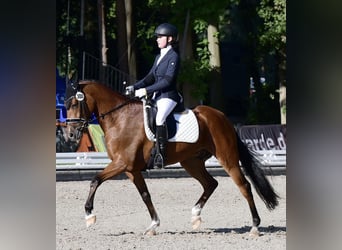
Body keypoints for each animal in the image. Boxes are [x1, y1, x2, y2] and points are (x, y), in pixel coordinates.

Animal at [63, 80, 278, 236]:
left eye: (74, 103)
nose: (71, 135)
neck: (119, 118)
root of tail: (222, 117)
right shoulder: (131, 169)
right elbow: (145, 195)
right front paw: (153, 225)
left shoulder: (122, 163)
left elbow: (95, 180)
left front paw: (89, 215)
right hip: (191, 162)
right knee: (211, 183)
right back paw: (195, 216)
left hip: (227, 159)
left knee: (244, 186)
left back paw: (255, 226)